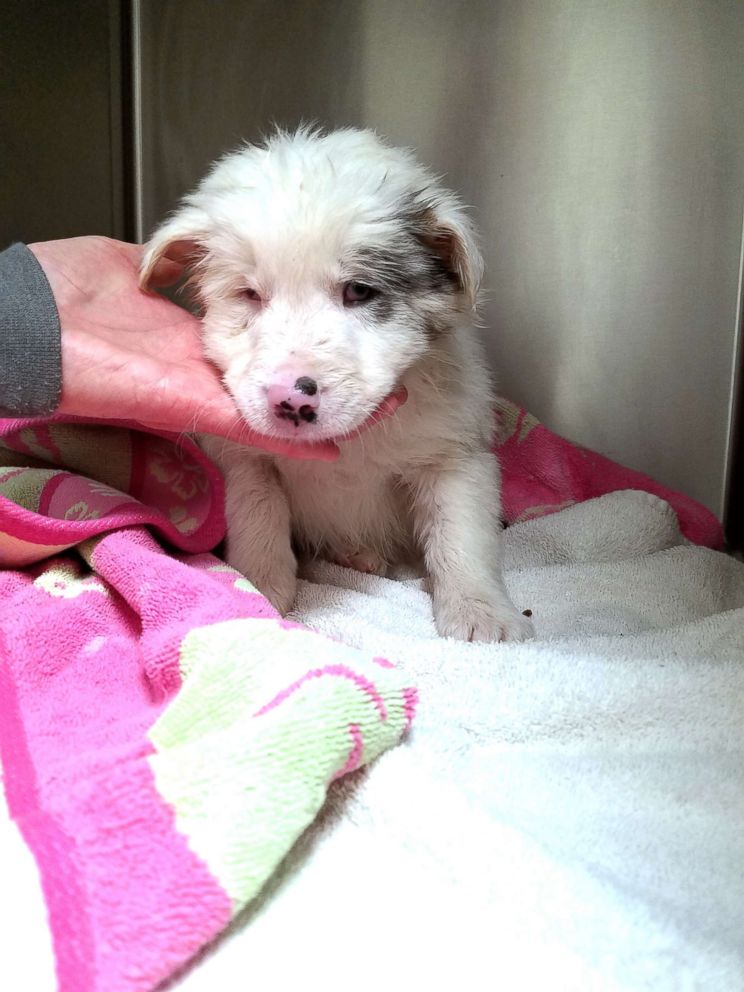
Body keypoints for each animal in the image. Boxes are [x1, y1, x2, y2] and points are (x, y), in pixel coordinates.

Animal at [141, 128, 536, 644]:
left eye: (359, 291)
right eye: (249, 294)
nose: (289, 400)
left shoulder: (454, 457)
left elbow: (462, 539)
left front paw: (482, 614)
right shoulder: (243, 458)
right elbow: (259, 517)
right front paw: (258, 590)